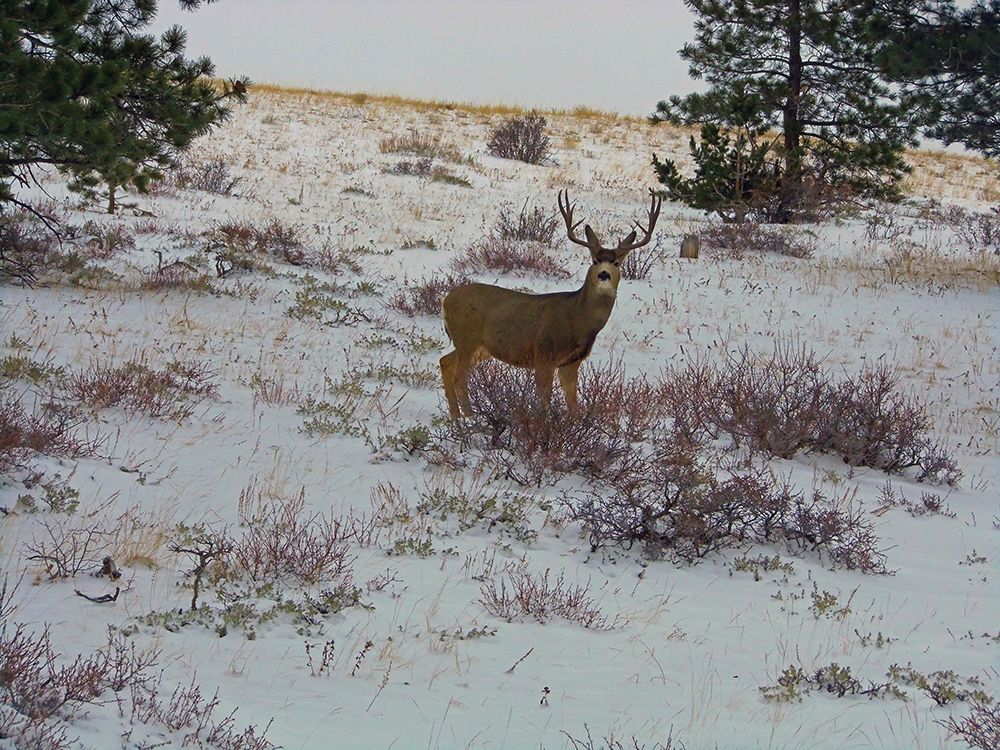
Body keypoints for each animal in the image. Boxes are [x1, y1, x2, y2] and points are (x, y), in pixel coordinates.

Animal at [439, 189, 661, 418]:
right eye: (594, 261)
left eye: (616, 263)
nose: (604, 274)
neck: (577, 318)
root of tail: (446, 299)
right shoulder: (544, 355)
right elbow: (544, 403)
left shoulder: (571, 362)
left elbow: (573, 405)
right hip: (468, 338)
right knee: (459, 376)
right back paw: (470, 419)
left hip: (480, 346)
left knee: (445, 362)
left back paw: (456, 419)